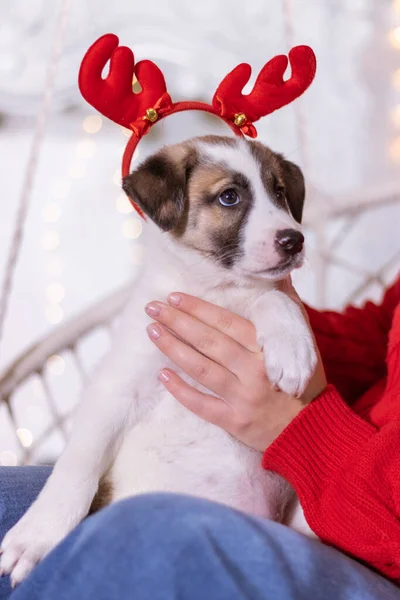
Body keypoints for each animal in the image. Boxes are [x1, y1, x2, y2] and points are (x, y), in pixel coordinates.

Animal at [1, 136, 318, 584]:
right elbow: (77, 466)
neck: (215, 291)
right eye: (229, 197)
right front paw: (38, 535)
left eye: (278, 192)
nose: (294, 240)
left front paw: (291, 349)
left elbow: (273, 297)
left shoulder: (259, 295)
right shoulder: (115, 392)